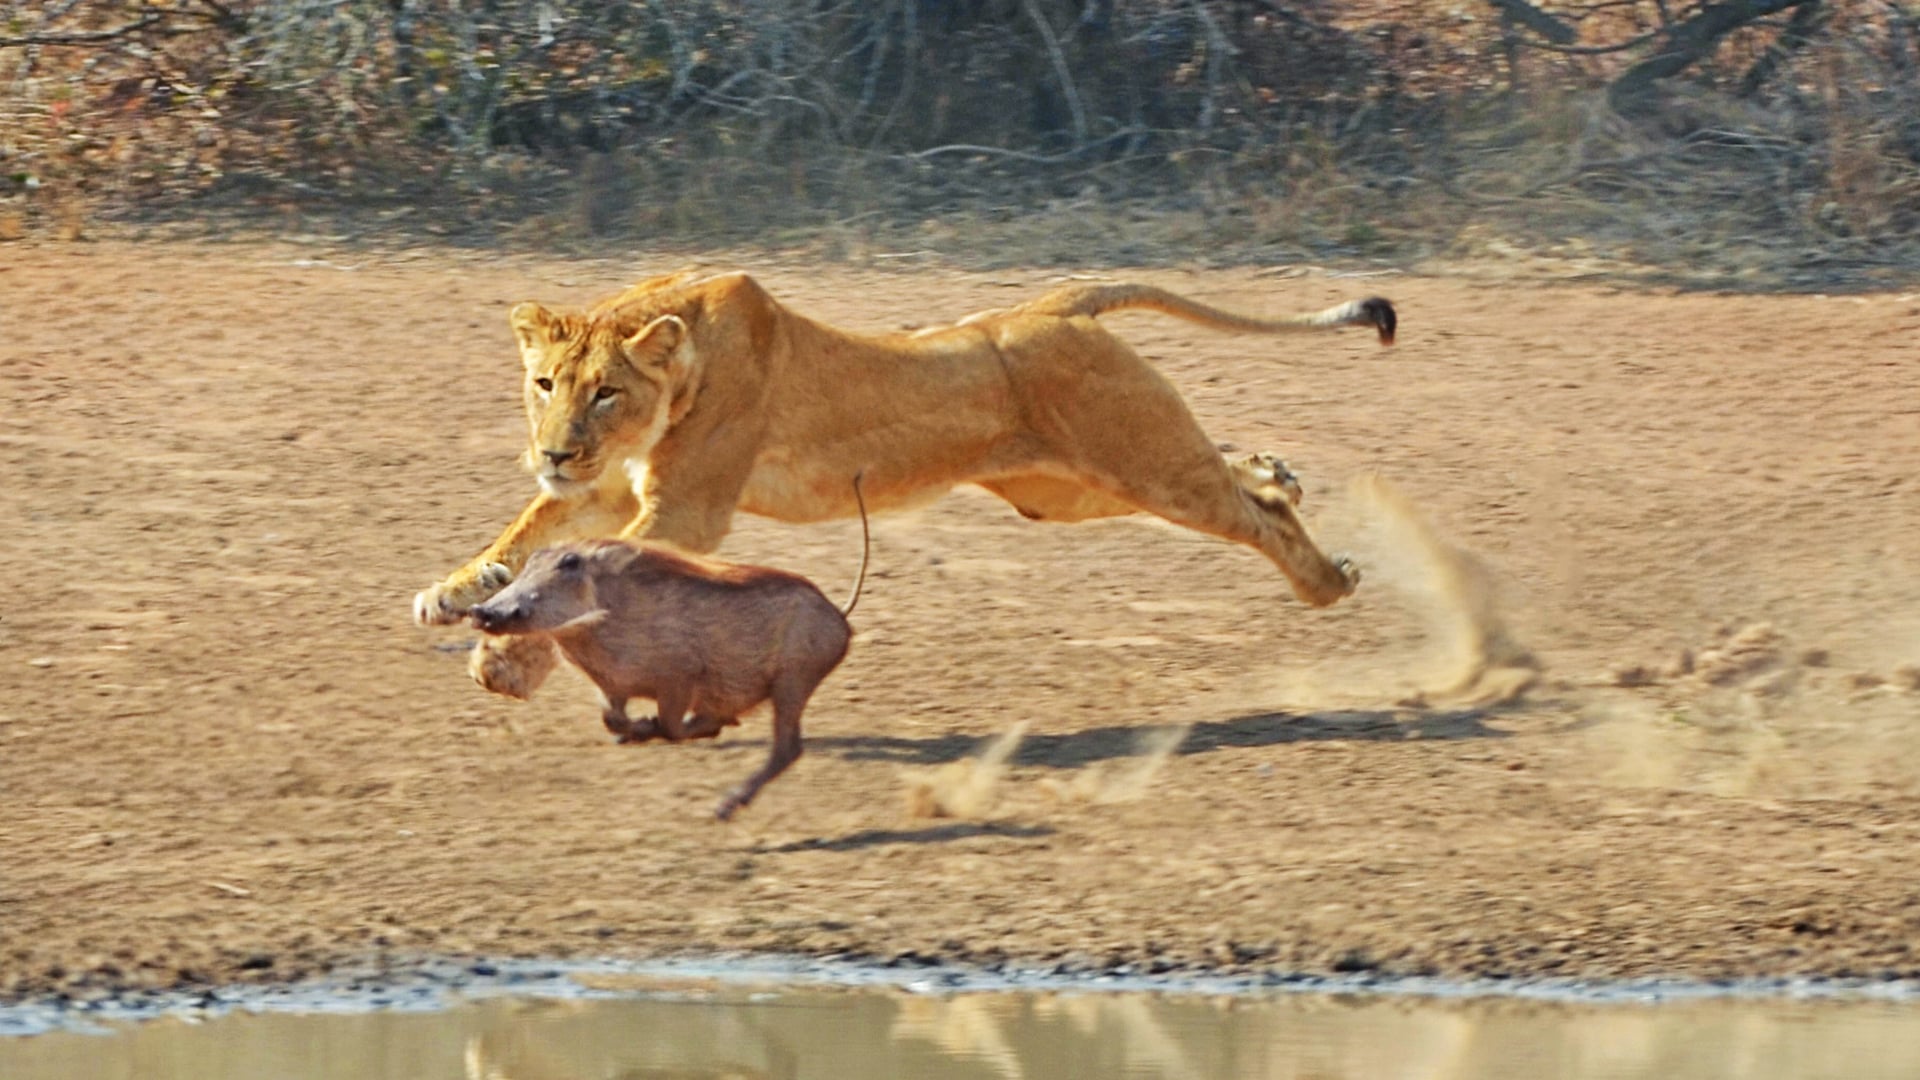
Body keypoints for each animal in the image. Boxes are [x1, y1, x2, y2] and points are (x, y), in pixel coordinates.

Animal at [413, 268, 1396, 698]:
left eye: (605, 392)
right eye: (546, 384)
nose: (552, 450)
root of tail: (1051, 305)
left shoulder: (685, 507)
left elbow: (588, 573)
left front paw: (503, 661)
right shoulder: (614, 486)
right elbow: (527, 530)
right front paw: (458, 590)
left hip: (1143, 463)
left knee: (1248, 512)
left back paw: (1329, 580)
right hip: (1073, 490)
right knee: (1241, 475)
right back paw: (1279, 470)